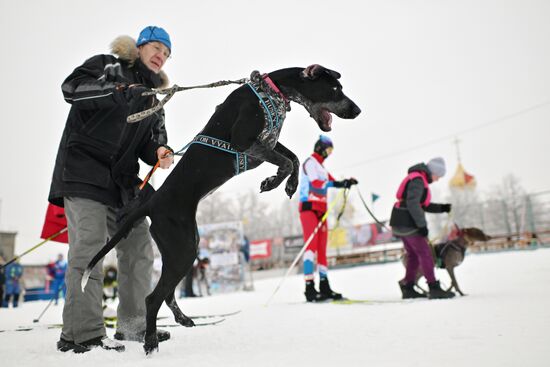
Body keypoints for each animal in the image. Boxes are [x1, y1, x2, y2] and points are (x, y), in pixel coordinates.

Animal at [81, 64, 362, 356]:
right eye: (335, 89)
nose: (357, 110)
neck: (270, 90)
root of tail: (151, 202)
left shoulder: (267, 144)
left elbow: (293, 158)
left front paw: (288, 184)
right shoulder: (245, 141)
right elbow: (286, 161)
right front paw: (275, 181)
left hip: (184, 250)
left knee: (167, 293)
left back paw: (182, 318)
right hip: (182, 251)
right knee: (152, 298)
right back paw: (150, 342)